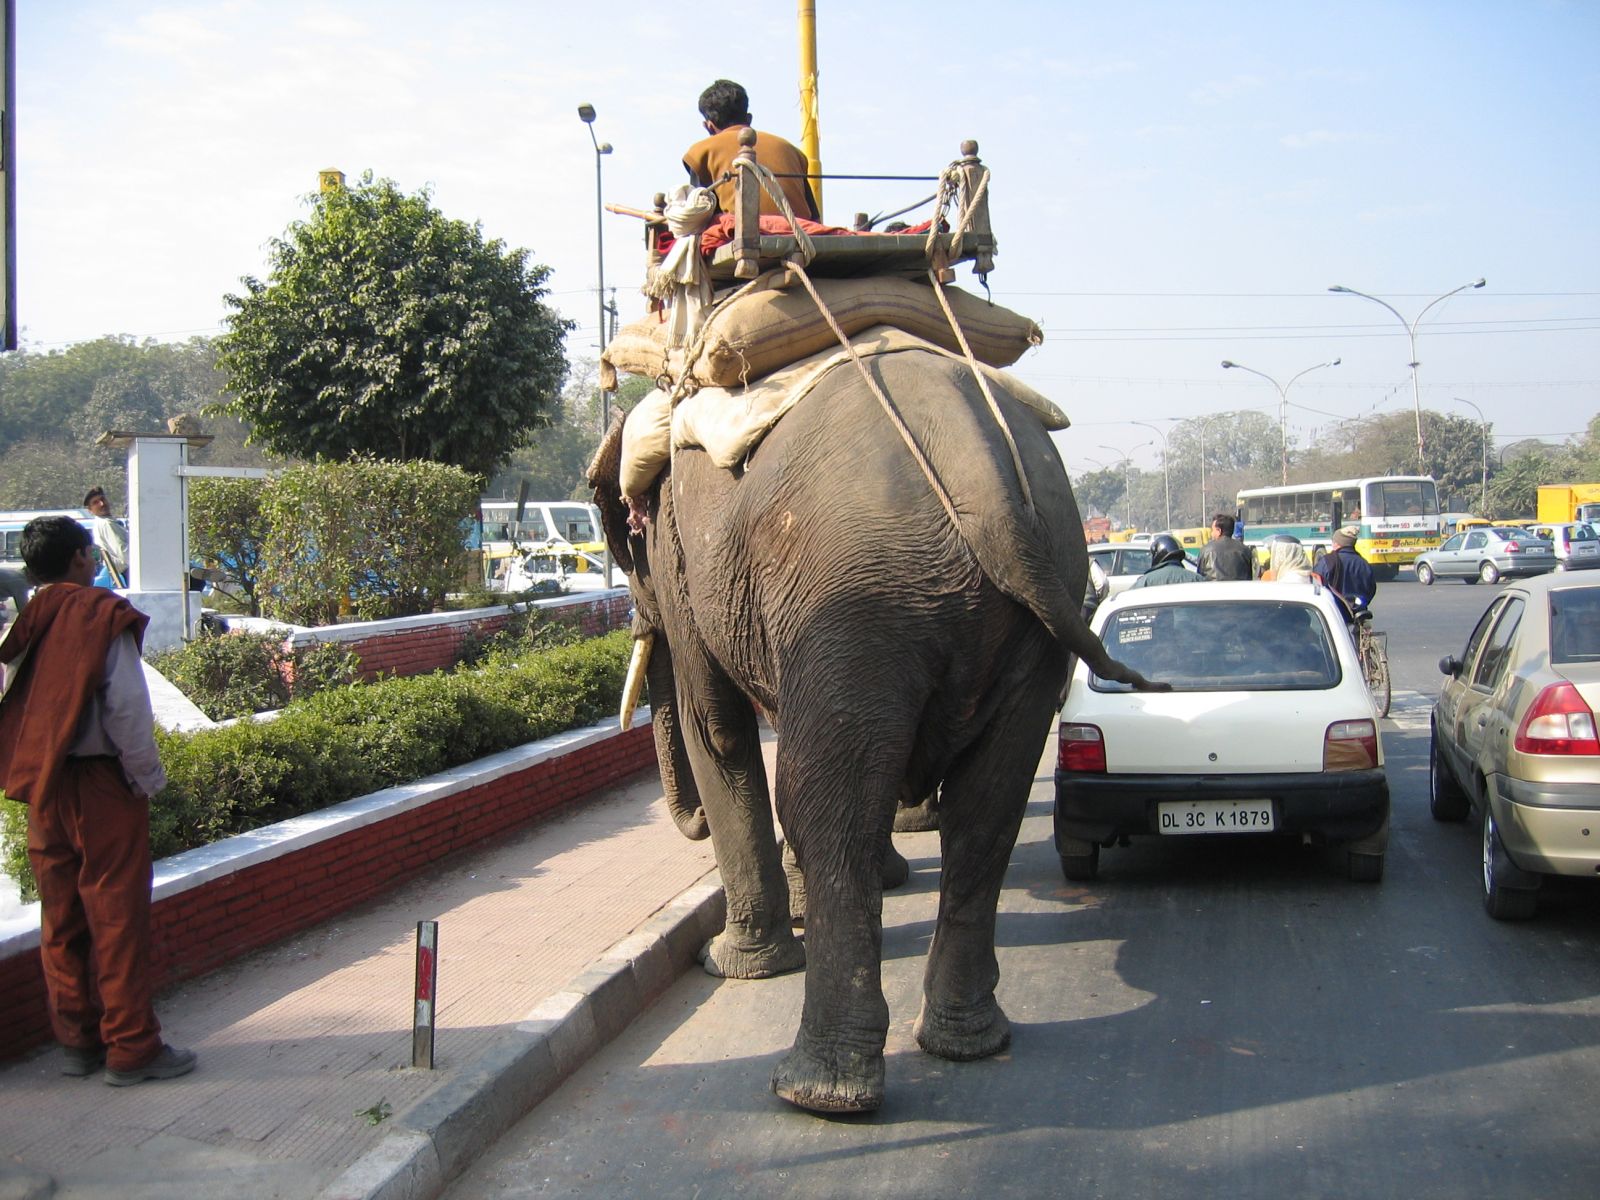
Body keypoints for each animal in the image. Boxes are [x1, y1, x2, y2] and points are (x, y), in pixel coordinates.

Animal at [592, 347, 1164, 1120]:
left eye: (628, 548)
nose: (632, 617)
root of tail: (977, 465)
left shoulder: (691, 568)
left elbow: (716, 725)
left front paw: (732, 965)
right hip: (1012, 610)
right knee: (988, 808)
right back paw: (967, 1041)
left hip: (857, 597)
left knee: (827, 811)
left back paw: (820, 1092)